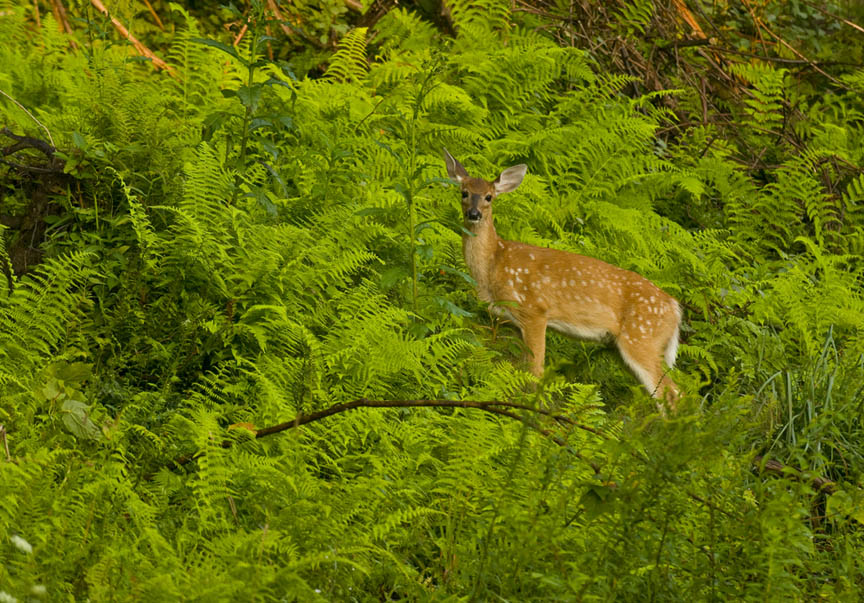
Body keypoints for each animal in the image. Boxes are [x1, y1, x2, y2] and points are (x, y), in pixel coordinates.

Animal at [443, 149, 682, 406]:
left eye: (489, 197)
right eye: (464, 192)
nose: (474, 214)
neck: (494, 265)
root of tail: (675, 308)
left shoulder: (535, 311)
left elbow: (535, 372)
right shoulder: (512, 322)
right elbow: (519, 370)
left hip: (642, 337)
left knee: (674, 393)